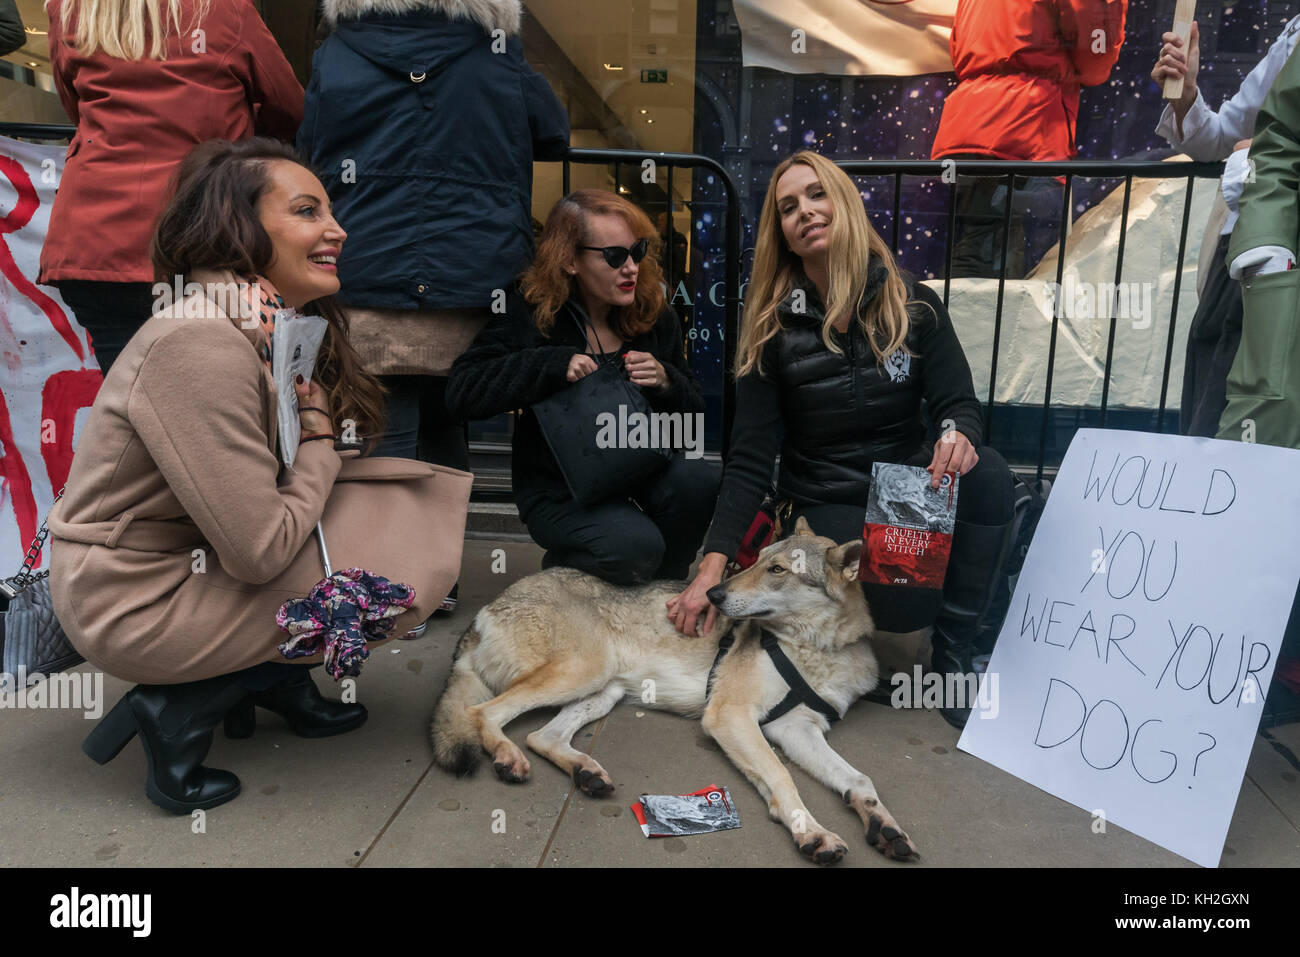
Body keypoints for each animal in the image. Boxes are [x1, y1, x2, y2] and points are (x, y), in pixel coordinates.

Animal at [431, 520, 920, 863]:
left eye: (777, 570)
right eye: (757, 560)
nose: (713, 594)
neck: (815, 647)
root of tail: (488, 608)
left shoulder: (798, 727)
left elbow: (858, 779)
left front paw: (884, 825)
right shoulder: (731, 716)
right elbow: (781, 777)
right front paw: (813, 833)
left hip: (603, 689)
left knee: (541, 736)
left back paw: (585, 772)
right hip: (583, 672)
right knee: (482, 714)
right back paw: (507, 756)